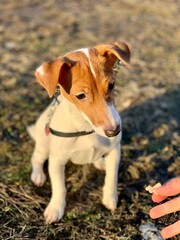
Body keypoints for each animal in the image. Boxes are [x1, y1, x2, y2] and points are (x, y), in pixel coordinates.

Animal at [28, 40, 131, 223]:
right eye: (80, 95)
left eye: (111, 85)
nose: (114, 131)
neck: (85, 128)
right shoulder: (56, 161)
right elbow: (59, 188)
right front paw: (55, 209)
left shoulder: (115, 150)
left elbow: (112, 176)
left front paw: (110, 198)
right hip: (43, 145)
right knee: (37, 159)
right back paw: (38, 176)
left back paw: (100, 162)